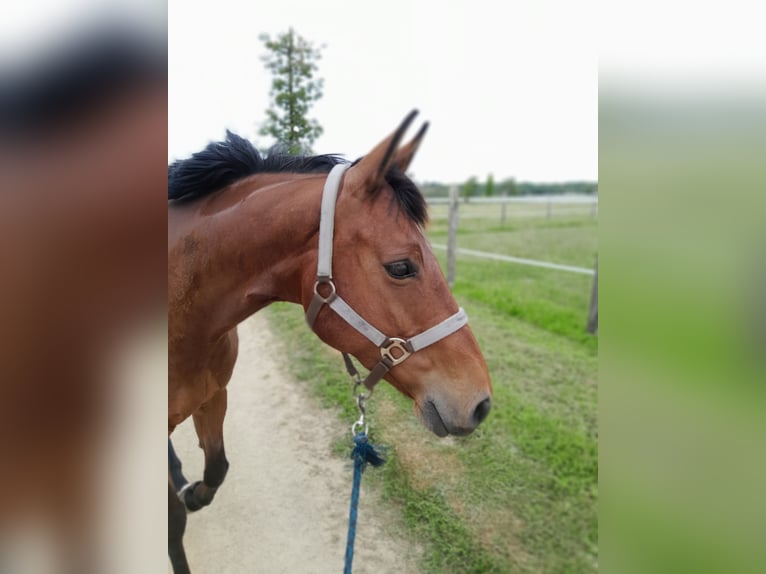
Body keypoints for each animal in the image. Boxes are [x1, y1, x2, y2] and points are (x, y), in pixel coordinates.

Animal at [167, 110, 492, 572]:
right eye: (401, 266)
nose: (480, 403)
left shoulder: (213, 397)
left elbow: (216, 470)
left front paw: (191, 490)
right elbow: (173, 520)